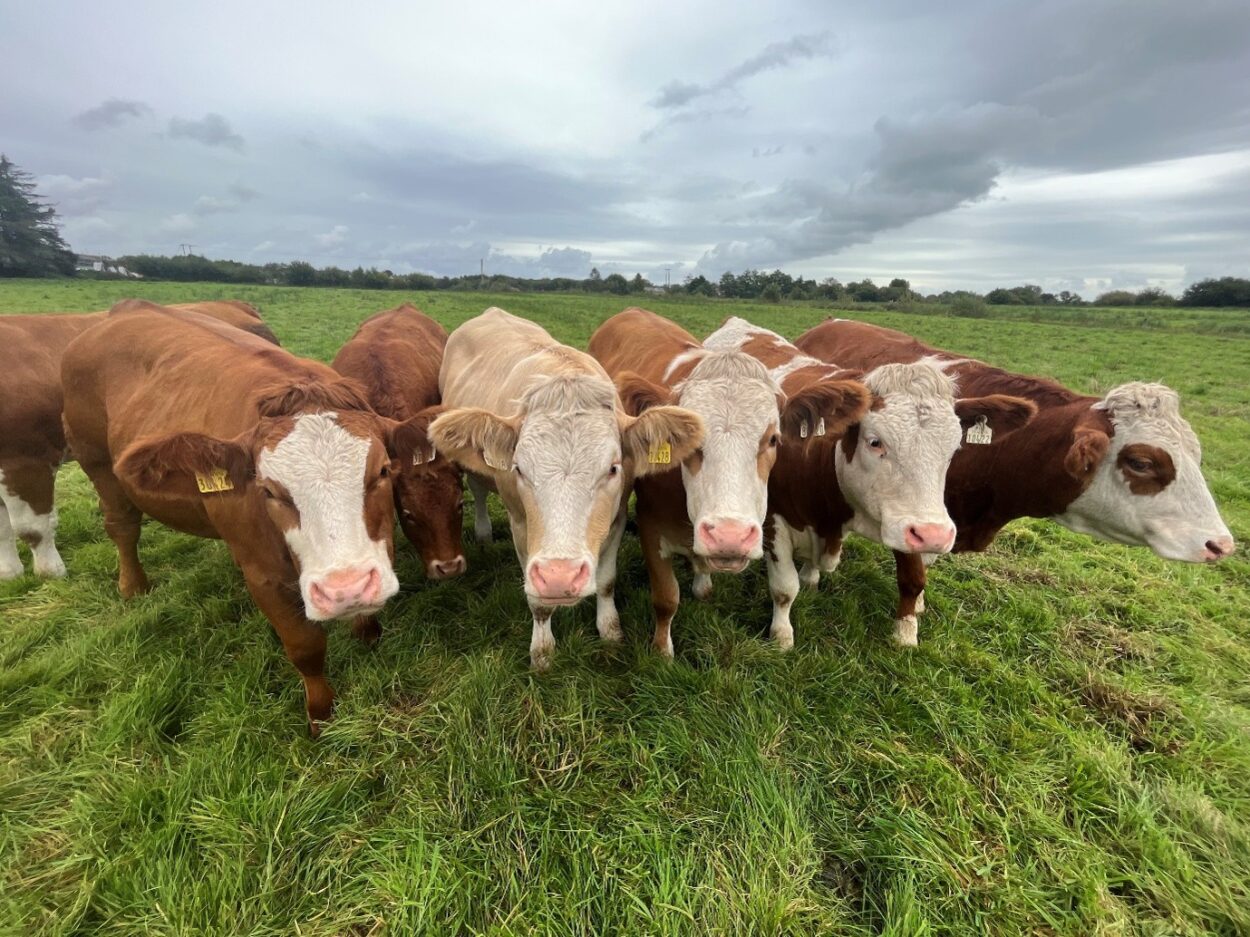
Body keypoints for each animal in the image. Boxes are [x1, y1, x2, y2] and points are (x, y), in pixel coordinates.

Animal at [60, 301, 423, 734]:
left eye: (382, 471)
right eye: (268, 490)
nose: (344, 590)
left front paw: (365, 632)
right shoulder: (264, 577)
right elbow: (305, 648)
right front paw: (320, 715)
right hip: (96, 461)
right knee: (122, 526)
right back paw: (133, 586)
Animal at [429, 307, 704, 669]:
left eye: (613, 468)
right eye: (519, 468)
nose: (560, 576)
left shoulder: (616, 517)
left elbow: (606, 582)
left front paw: (610, 632)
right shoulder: (520, 525)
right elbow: (538, 601)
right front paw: (542, 652)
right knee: (477, 489)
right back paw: (484, 533)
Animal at [588, 307, 869, 656]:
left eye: (774, 439)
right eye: (690, 438)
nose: (729, 536)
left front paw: (703, 585)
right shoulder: (650, 526)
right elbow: (666, 598)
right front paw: (662, 652)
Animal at [709, 317, 1036, 647]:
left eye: (954, 448)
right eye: (875, 442)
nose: (935, 535)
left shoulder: (906, 518)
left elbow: (913, 578)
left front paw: (906, 633)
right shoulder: (774, 522)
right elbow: (784, 589)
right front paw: (781, 637)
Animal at [795, 317, 1236, 644]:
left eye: (1196, 454)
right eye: (1142, 462)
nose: (1221, 544)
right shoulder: (911, 516)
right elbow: (912, 576)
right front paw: (906, 631)